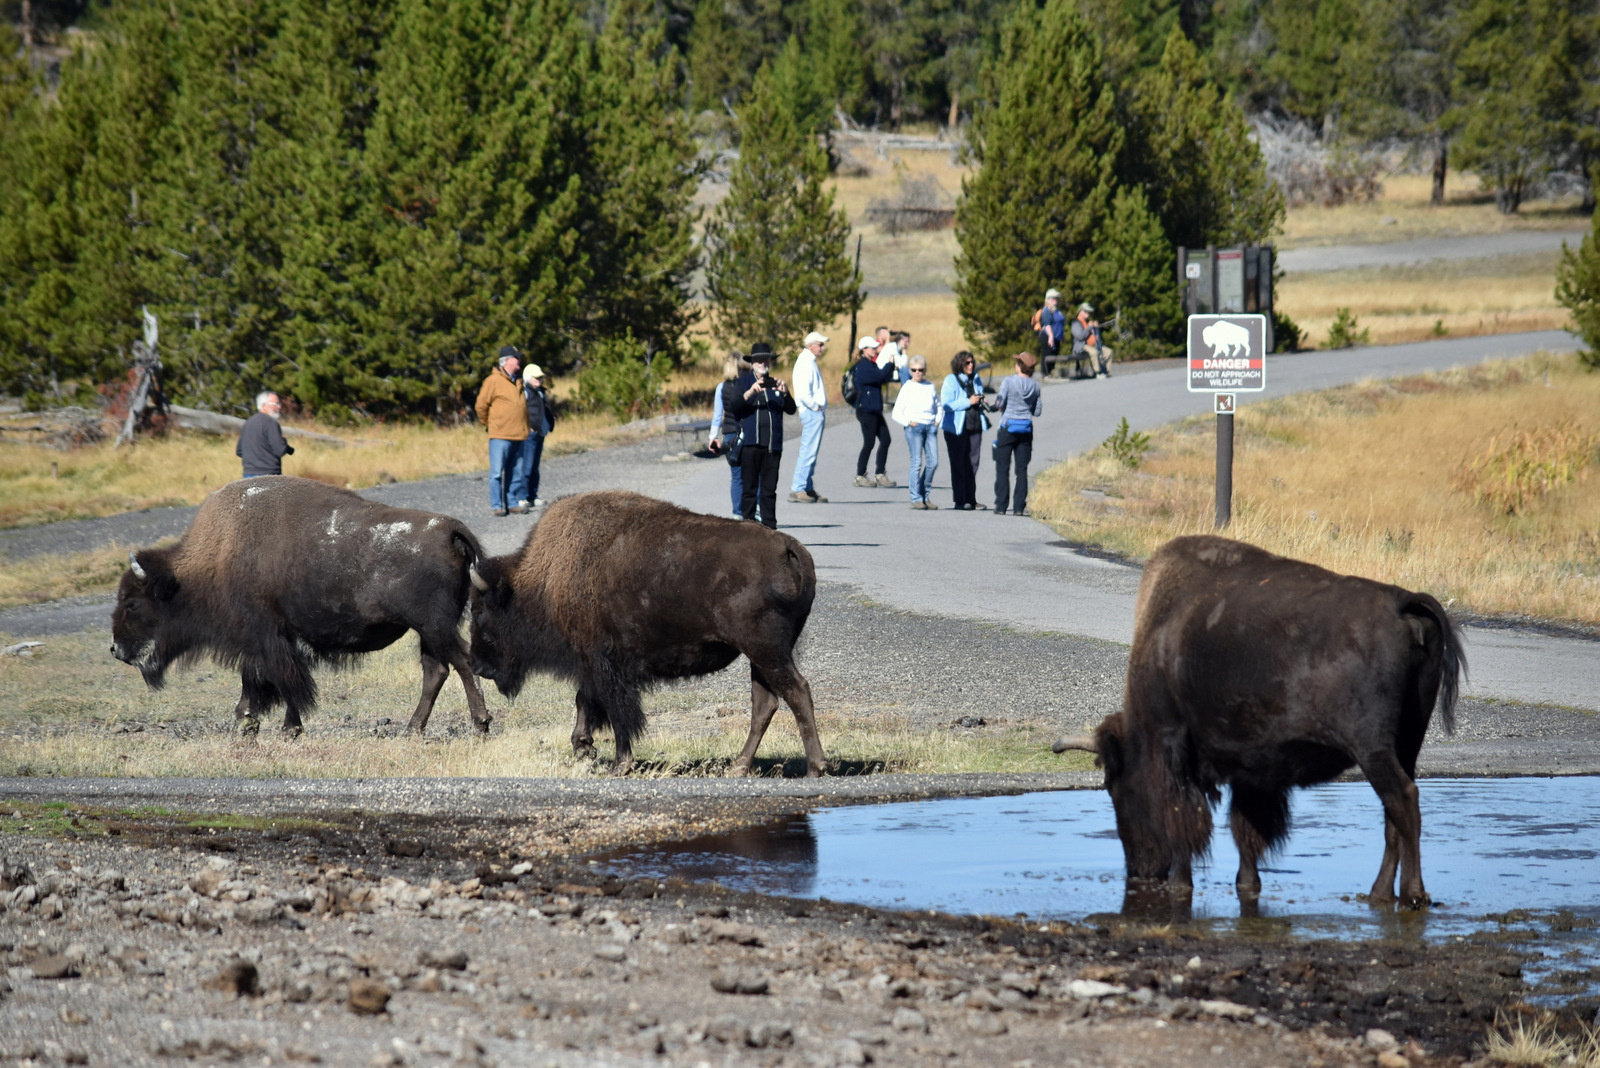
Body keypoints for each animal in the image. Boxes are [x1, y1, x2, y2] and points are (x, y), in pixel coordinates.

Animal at [112, 476, 489, 735]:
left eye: (132, 603)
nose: (116, 648)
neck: (217, 555)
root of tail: (447, 529)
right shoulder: (269, 640)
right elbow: (265, 679)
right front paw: (250, 724)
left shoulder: (267, 637)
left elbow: (283, 682)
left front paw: (279, 728)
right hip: (427, 630)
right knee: (436, 670)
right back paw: (412, 729)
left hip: (434, 625)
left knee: (461, 661)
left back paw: (480, 723)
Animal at [467, 489, 825, 777]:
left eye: (479, 610)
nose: (477, 665)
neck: (545, 576)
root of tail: (788, 547)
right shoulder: (593, 665)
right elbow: (586, 700)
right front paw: (582, 746)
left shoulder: (602, 663)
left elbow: (617, 712)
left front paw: (618, 764)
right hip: (761, 657)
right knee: (765, 703)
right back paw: (738, 767)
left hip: (766, 650)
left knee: (796, 692)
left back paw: (815, 768)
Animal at [1056, 534, 1465, 908]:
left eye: (1114, 785)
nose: (1139, 869)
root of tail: (1401, 602)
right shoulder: (1251, 769)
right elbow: (1245, 829)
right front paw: (1247, 884)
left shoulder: (1174, 747)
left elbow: (1186, 821)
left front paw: (1180, 883)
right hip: (1408, 743)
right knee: (1393, 814)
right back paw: (1379, 895)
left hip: (1372, 749)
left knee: (1403, 801)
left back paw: (1410, 895)